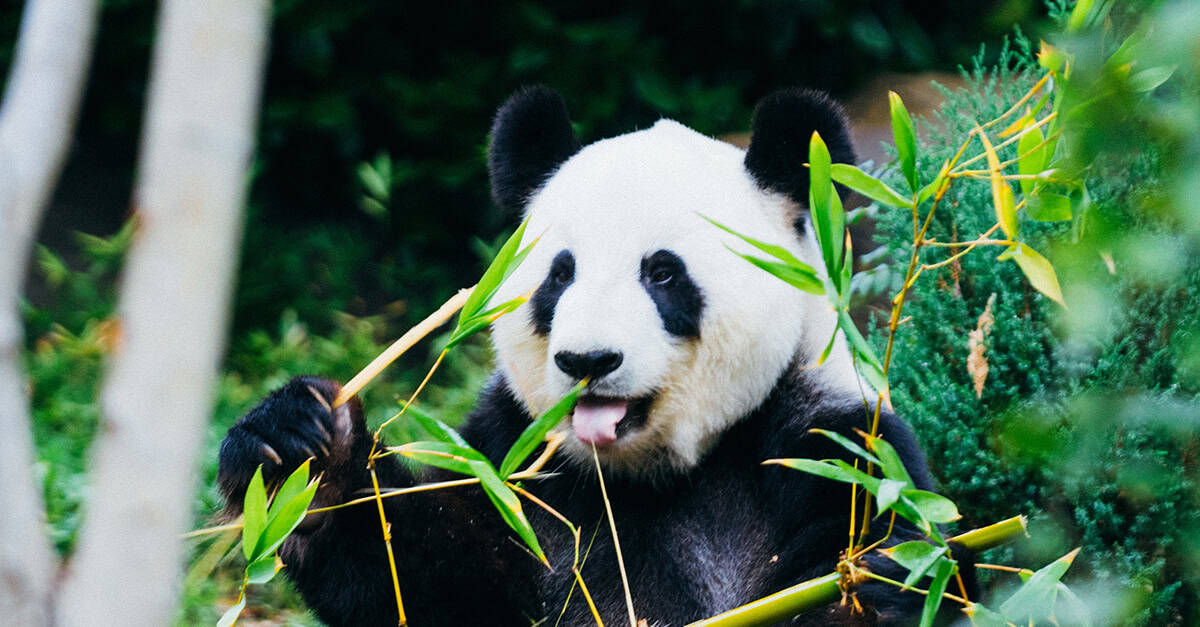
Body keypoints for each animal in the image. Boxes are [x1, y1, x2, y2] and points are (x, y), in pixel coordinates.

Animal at [218, 86, 973, 626]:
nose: (588, 360)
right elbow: (426, 579)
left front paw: (860, 585)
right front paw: (302, 452)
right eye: (560, 275)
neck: (650, 475)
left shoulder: (831, 447)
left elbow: (879, 565)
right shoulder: (516, 466)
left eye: (662, 274)